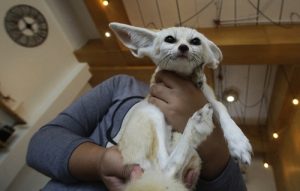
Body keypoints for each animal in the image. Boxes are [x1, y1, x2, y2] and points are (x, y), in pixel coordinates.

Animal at [109, 22, 252, 191]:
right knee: (164, 168)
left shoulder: (208, 97)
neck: (184, 77)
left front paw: (238, 141)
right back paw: (197, 124)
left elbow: (222, 107)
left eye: (195, 41)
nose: (183, 47)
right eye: (170, 39)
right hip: (152, 112)